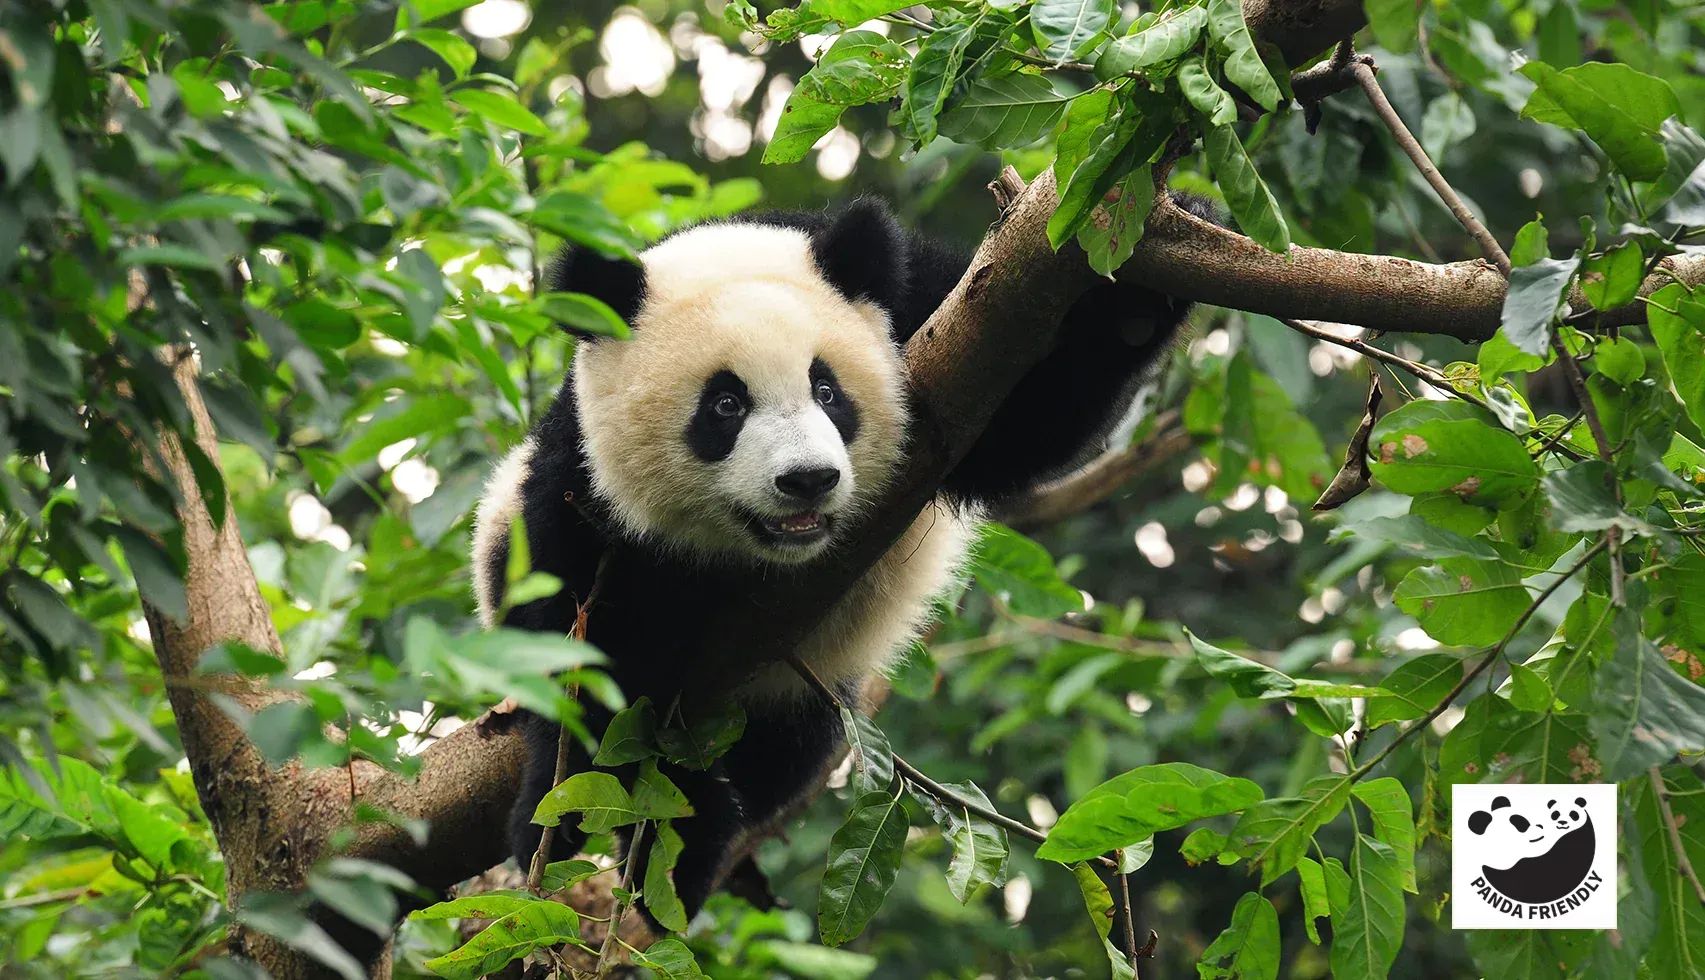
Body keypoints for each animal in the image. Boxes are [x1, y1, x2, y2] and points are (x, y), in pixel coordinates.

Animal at [471, 196, 1204, 926]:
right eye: (725, 404)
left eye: (827, 390)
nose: (807, 480)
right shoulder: (581, 485)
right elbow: (586, 653)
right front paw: (573, 813)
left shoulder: (934, 319)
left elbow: (1029, 418)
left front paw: (1148, 279)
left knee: (784, 754)